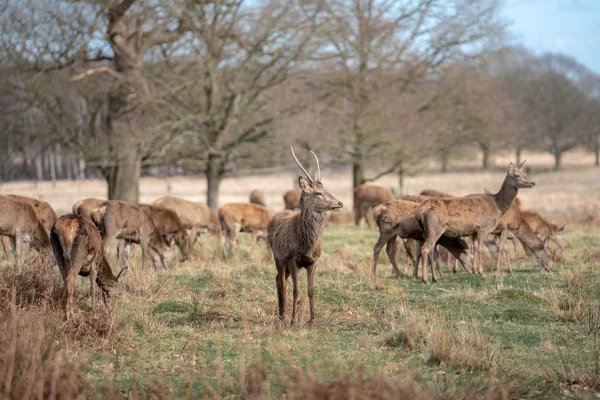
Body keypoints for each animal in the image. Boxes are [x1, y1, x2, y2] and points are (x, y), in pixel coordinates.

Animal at [268, 147, 342, 324]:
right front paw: (294, 321)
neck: (307, 245)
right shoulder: (292, 259)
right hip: (278, 258)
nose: (340, 203)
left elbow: (310, 290)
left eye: (327, 190)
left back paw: (281, 314)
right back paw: (283, 317)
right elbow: (296, 290)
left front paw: (312, 320)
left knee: (278, 279)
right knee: (282, 283)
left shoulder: (313, 261)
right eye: (318, 193)